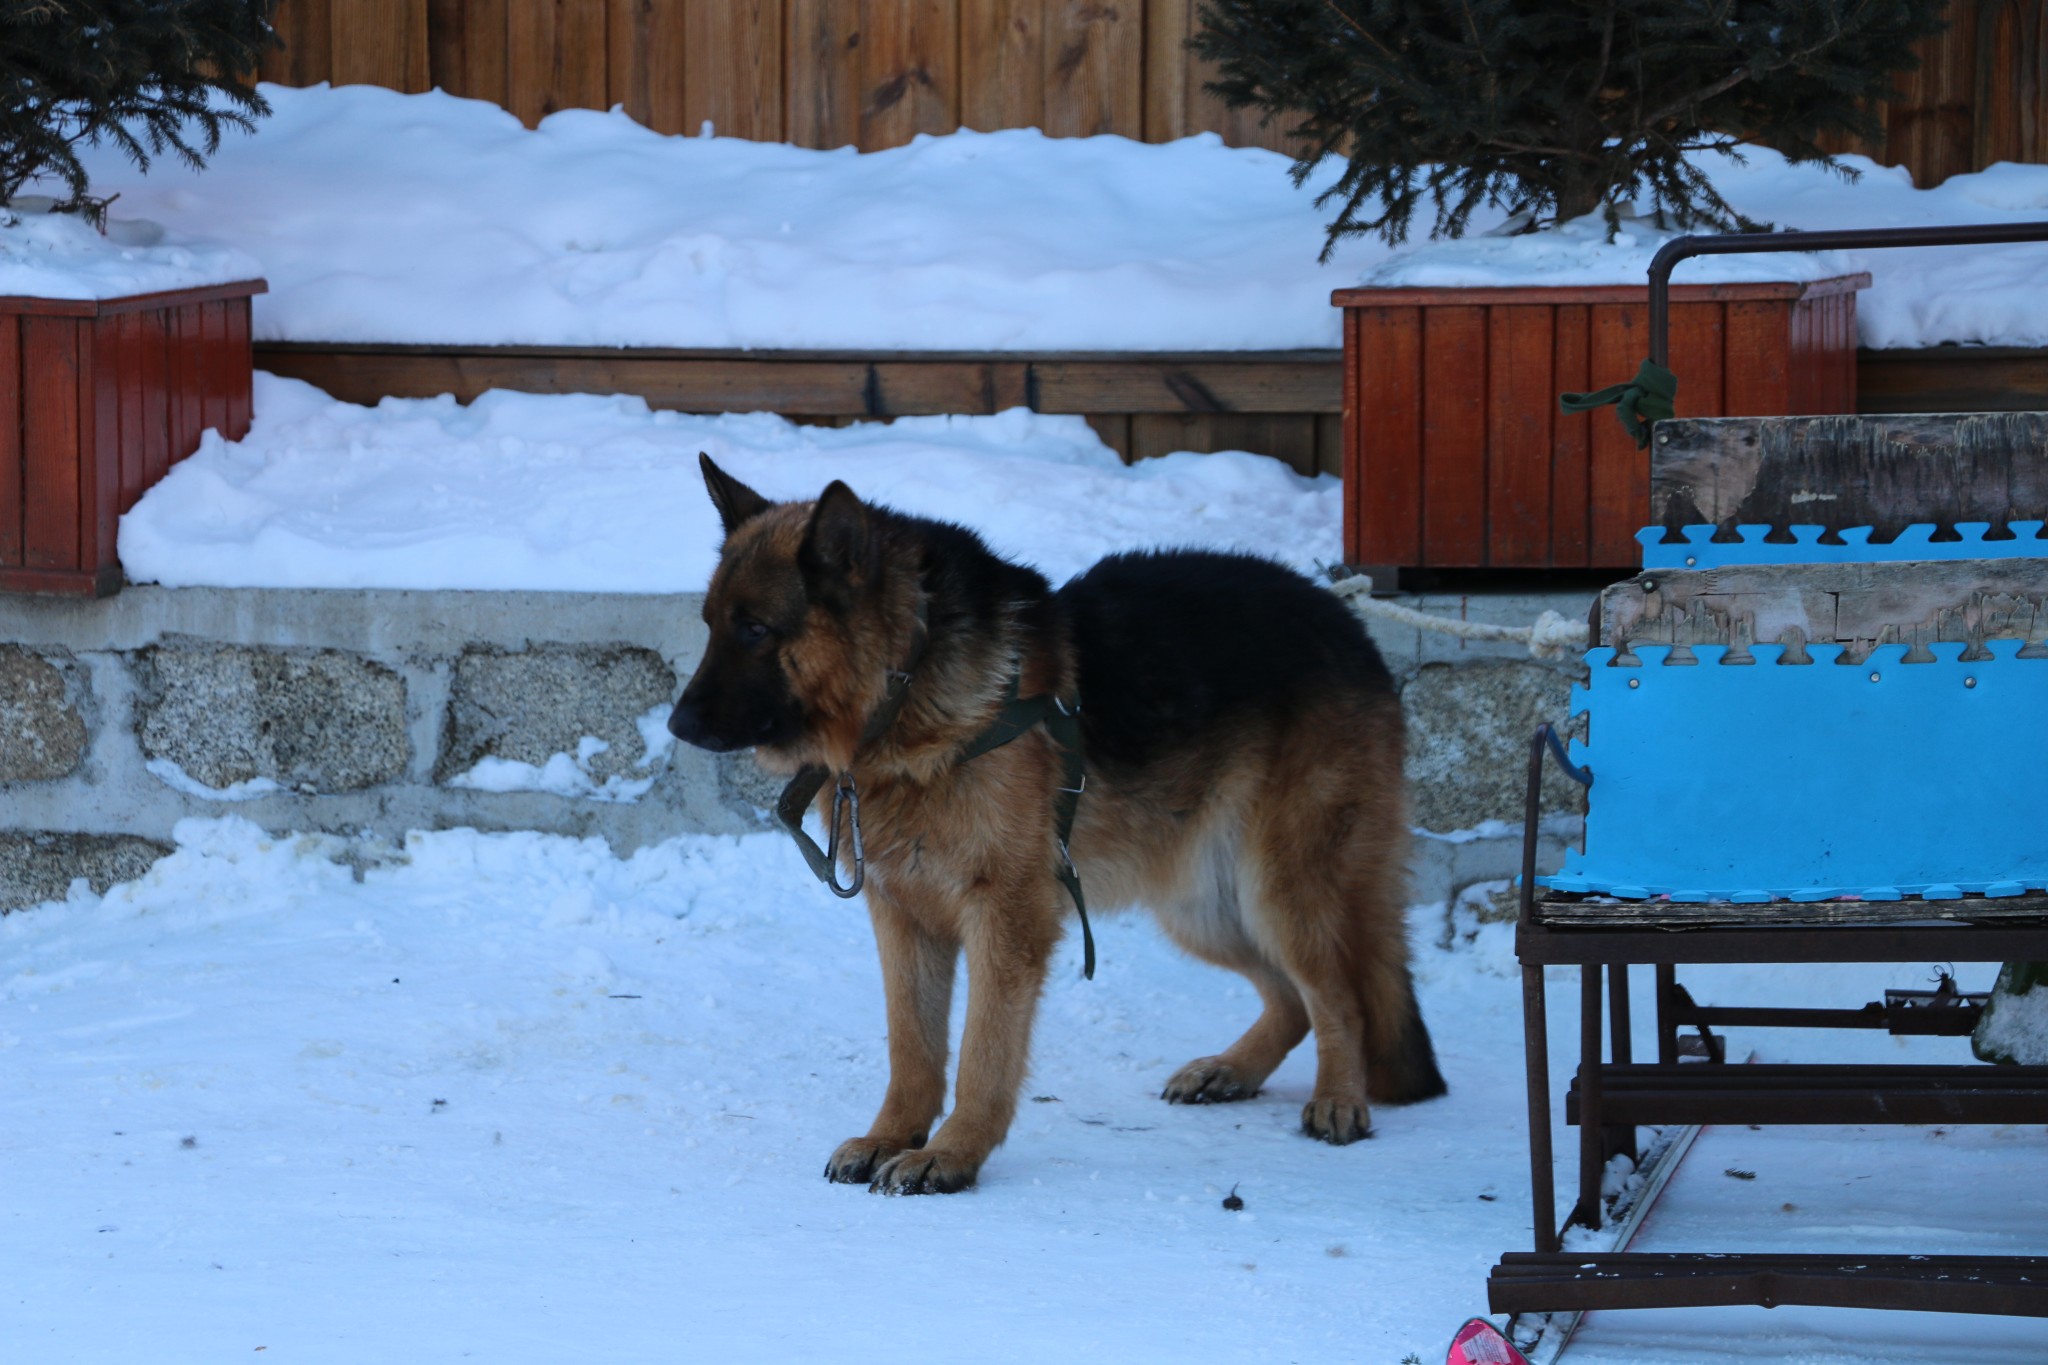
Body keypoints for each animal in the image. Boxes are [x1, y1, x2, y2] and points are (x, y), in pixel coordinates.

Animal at [671, 458, 1441, 1195]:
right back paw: (1232, 1070)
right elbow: (912, 1048)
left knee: (1338, 994)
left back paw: (1339, 1099)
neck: (909, 686)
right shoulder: (904, 919)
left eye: (755, 630)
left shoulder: (1005, 919)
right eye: (710, 625)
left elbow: (982, 1053)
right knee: (1291, 997)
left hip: (1276, 890)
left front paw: (950, 1154)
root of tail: (1346, 621)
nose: (675, 726)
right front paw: (889, 1136)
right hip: (1202, 906)